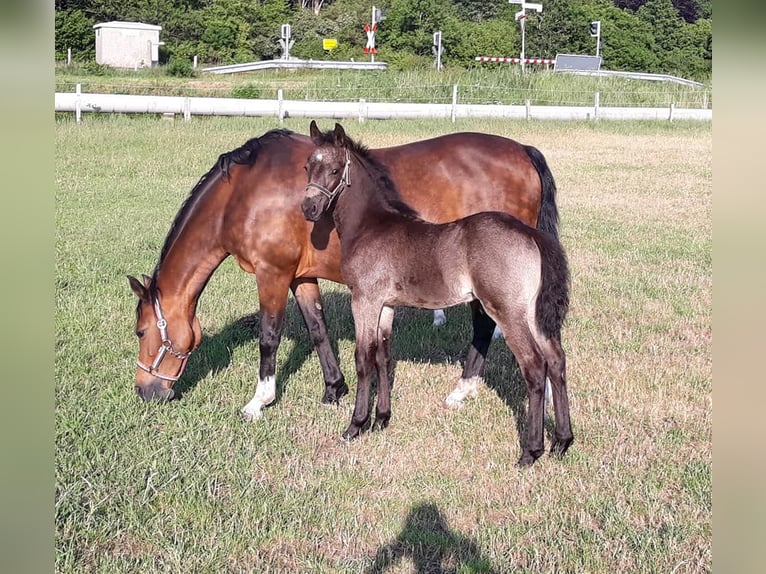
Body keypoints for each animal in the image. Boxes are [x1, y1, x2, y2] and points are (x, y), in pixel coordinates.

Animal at [128, 125, 560, 423]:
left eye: (141, 332)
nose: (145, 392)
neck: (245, 192)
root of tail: (523, 151)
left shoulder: (272, 274)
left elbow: (269, 337)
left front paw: (258, 401)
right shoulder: (300, 277)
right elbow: (318, 328)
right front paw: (334, 389)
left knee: (488, 327)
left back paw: (465, 390)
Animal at [302, 121, 573, 466]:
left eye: (335, 170)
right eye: (308, 167)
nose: (308, 208)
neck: (372, 226)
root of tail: (531, 234)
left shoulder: (364, 300)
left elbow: (363, 358)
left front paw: (355, 425)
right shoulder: (386, 305)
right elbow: (383, 356)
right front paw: (382, 419)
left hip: (509, 312)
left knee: (535, 367)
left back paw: (530, 451)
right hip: (533, 313)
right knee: (556, 361)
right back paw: (562, 442)